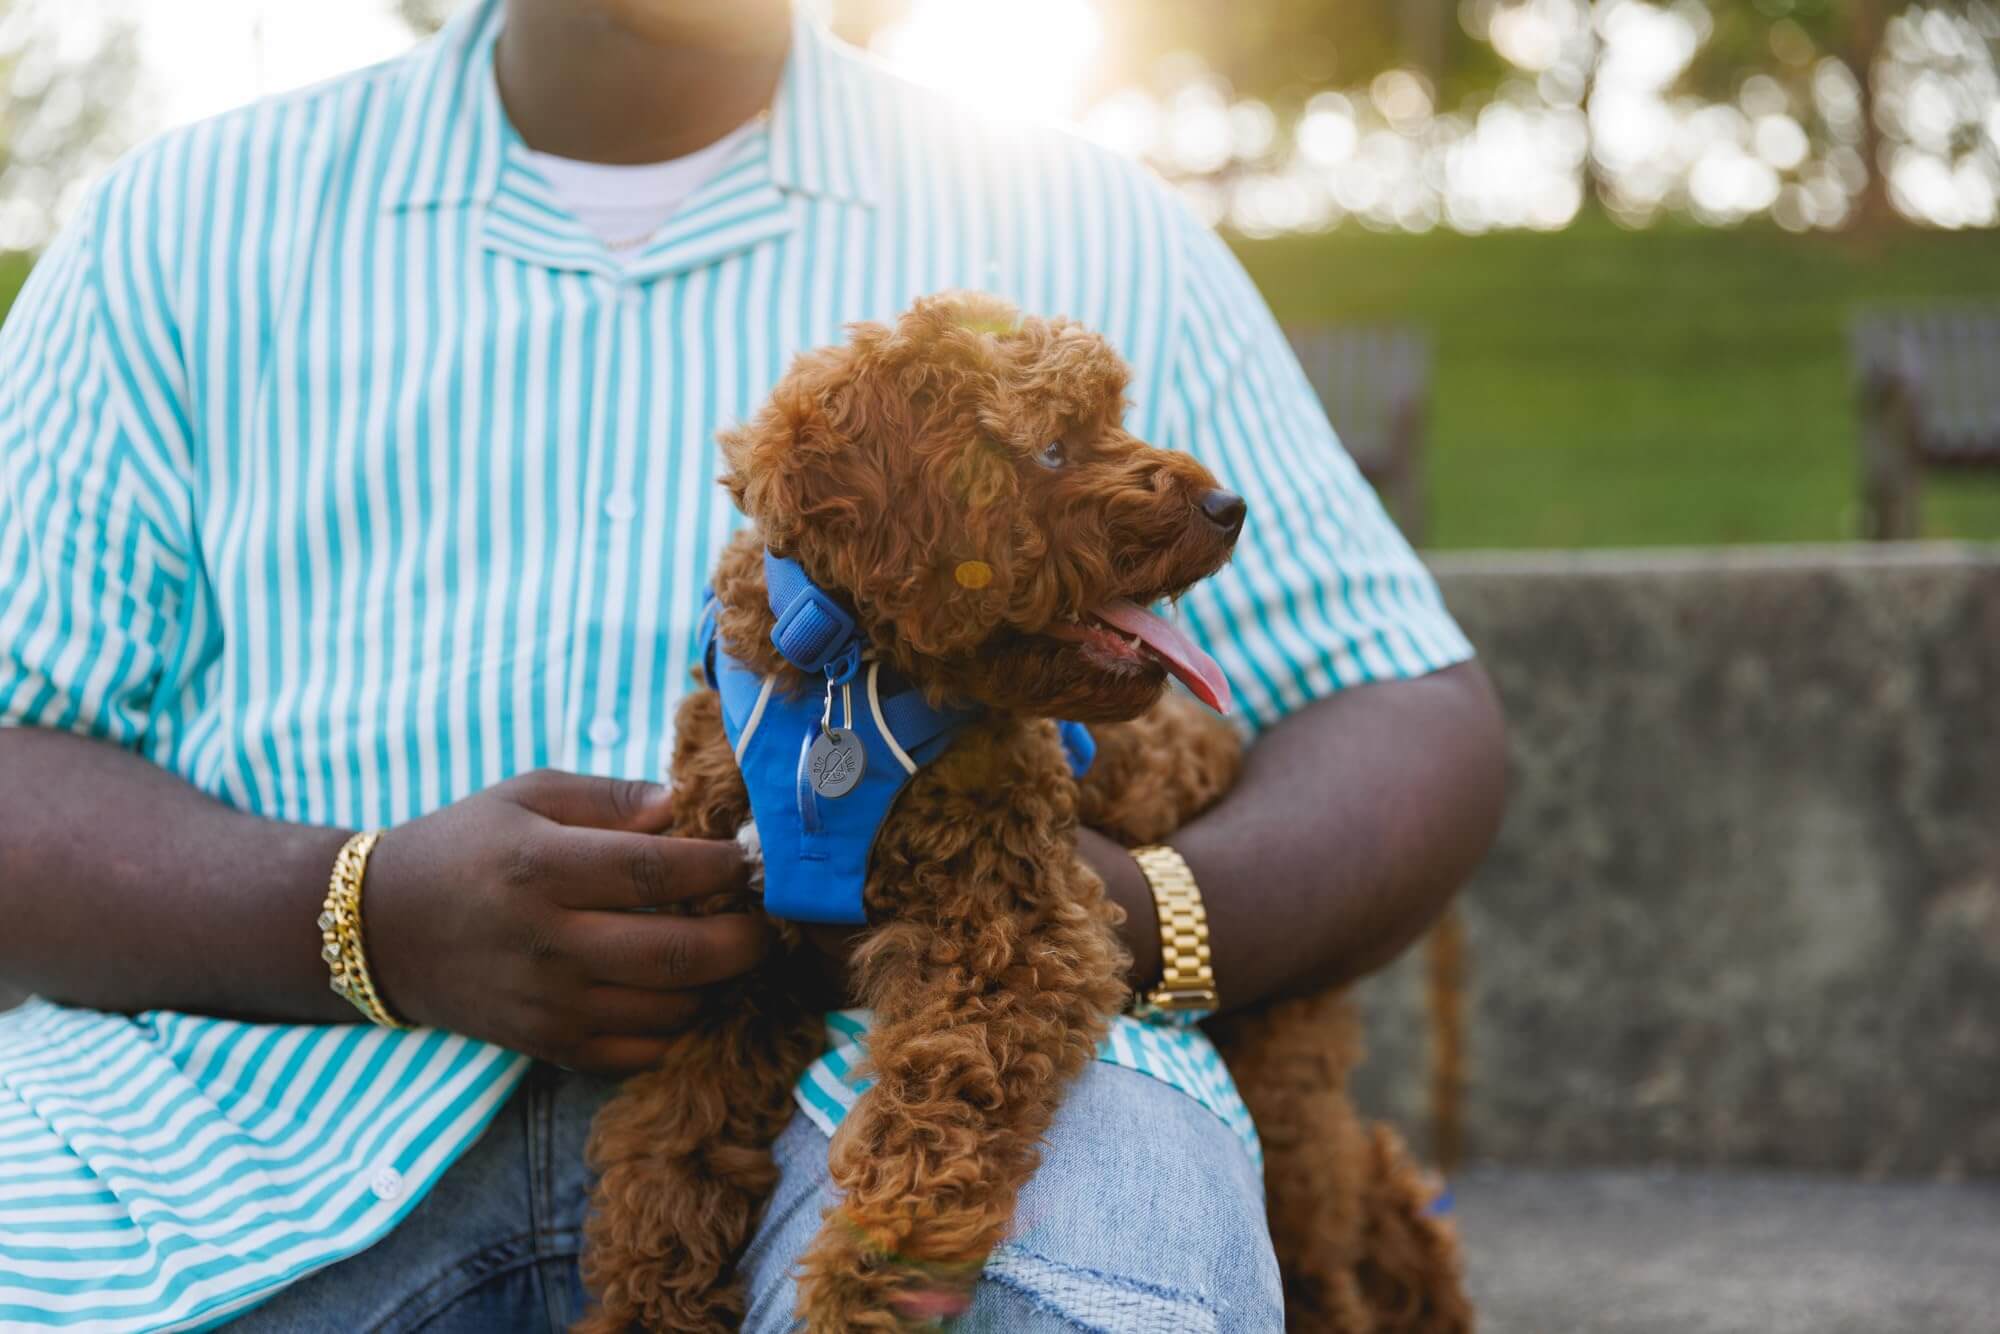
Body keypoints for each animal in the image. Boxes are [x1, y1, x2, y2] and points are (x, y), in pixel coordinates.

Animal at [580, 294, 1472, 1334]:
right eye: (1051, 447)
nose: (1230, 508)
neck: (846, 673)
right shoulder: (733, 960)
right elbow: (669, 1143)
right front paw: (652, 1301)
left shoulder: (1011, 938)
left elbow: (934, 1112)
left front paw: (866, 1278)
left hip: (1284, 1072)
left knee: (1336, 1225)